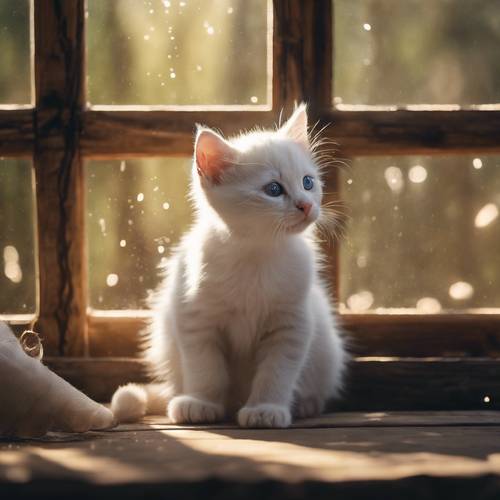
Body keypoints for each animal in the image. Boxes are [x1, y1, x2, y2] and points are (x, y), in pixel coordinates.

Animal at [113, 103, 348, 428]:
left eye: (308, 182)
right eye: (273, 189)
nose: (306, 205)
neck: (256, 254)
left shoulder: (292, 323)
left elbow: (276, 373)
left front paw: (266, 408)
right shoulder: (195, 317)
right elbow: (206, 369)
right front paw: (202, 402)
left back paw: (306, 404)